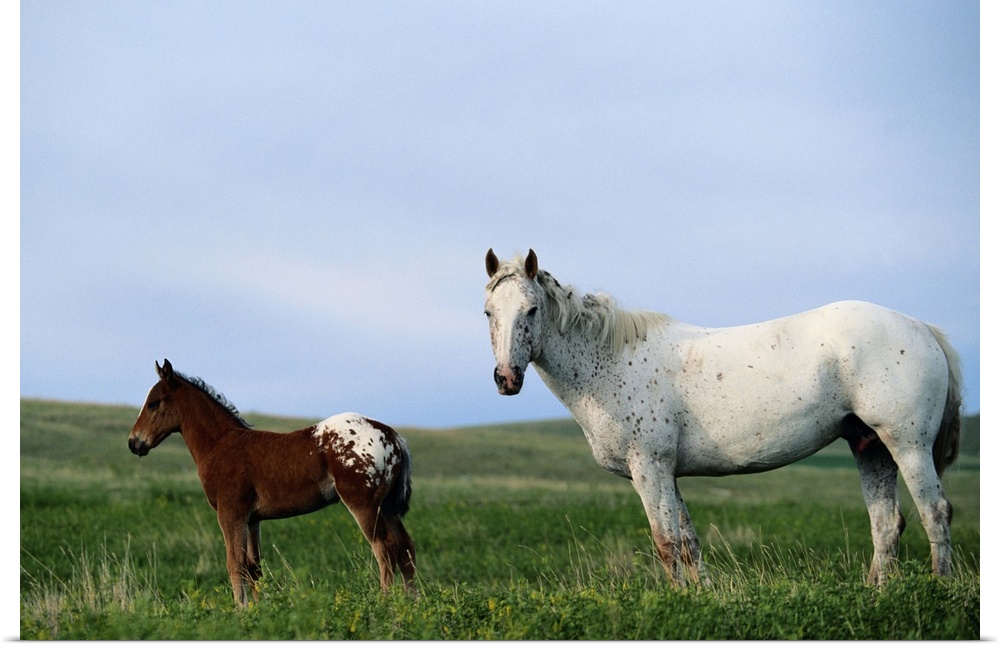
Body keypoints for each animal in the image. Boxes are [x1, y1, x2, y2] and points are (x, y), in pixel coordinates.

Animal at [482, 248, 960, 588]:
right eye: (489, 312)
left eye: (531, 310)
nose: (506, 378)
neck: (612, 362)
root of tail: (922, 328)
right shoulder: (666, 473)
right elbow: (688, 542)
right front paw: (702, 597)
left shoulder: (649, 468)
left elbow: (666, 541)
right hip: (870, 447)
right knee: (886, 524)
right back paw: (876, 592)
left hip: (908, 445)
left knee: (934, 511)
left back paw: (940, 586)